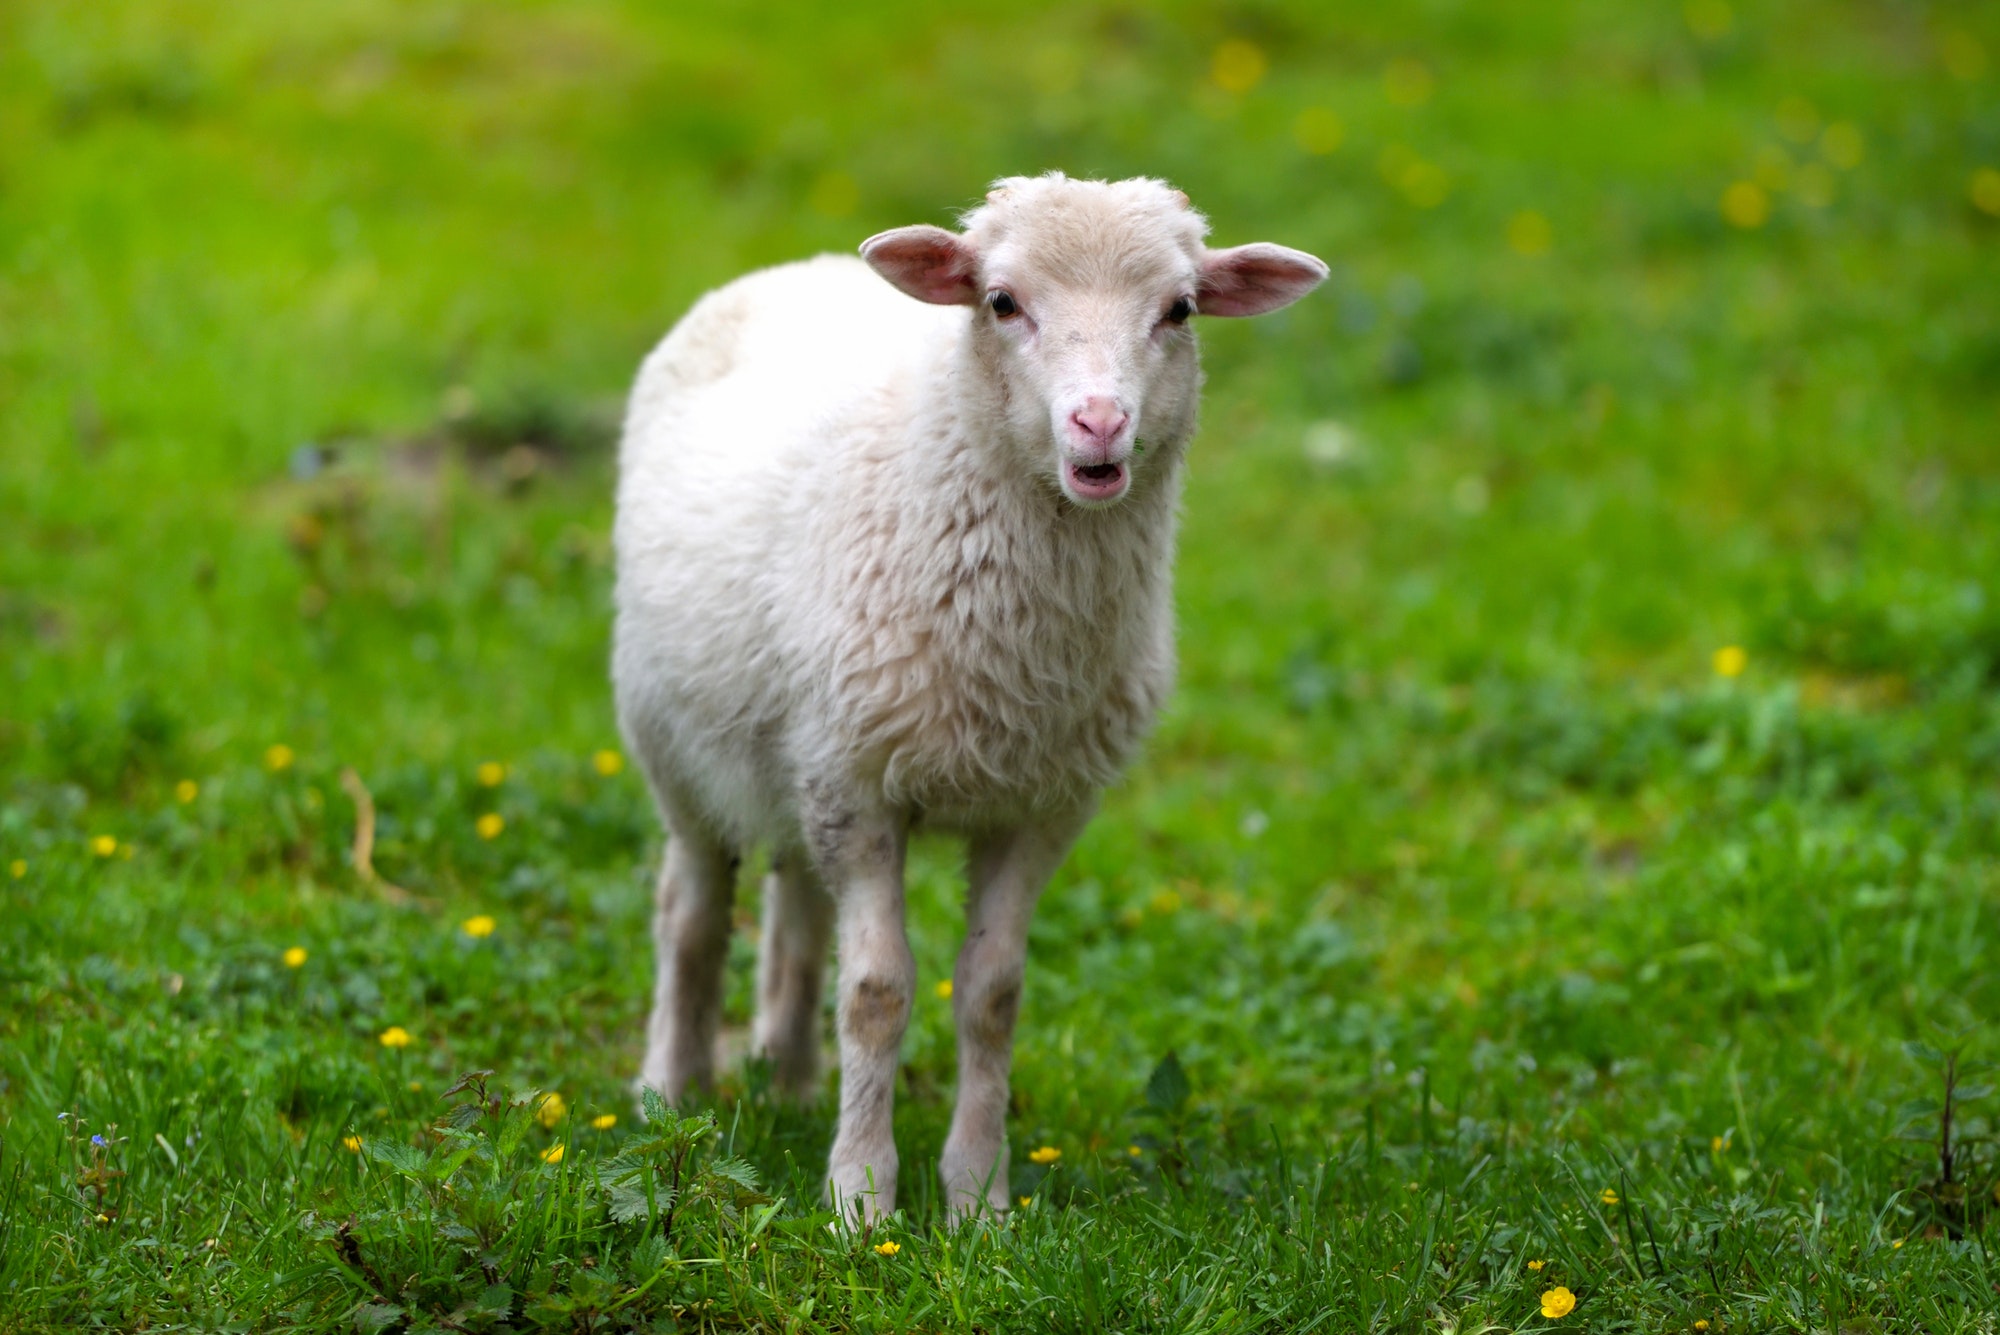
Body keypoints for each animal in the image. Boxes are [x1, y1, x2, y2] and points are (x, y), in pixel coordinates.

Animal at [613, 173, 1327, 1220]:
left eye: (1181, 310)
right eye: (1002, 302)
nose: (1100, 424)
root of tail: (799, 265)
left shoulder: (1040, 802)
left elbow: (991, 994)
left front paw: (978, 1196)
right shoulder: (862, 786)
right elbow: (876, 991)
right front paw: (862, 1196)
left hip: (801, 744)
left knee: (798, 907)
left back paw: (789, 1079)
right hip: (676, 739)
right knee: (691, 910)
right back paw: (670, 1088)